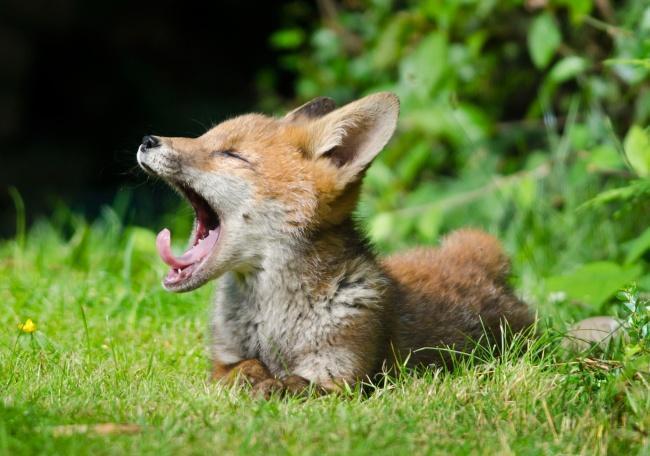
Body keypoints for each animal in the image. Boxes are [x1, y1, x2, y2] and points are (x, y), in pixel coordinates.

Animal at [137, 91, 532, 396]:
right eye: (204, 138)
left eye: (231, 155)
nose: (147, 140)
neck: (273, 325)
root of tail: (480, 262)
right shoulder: (222, 362)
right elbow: (241, 368)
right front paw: (254, 379)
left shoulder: (343, 374)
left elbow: (299, 385)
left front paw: (273, 386)